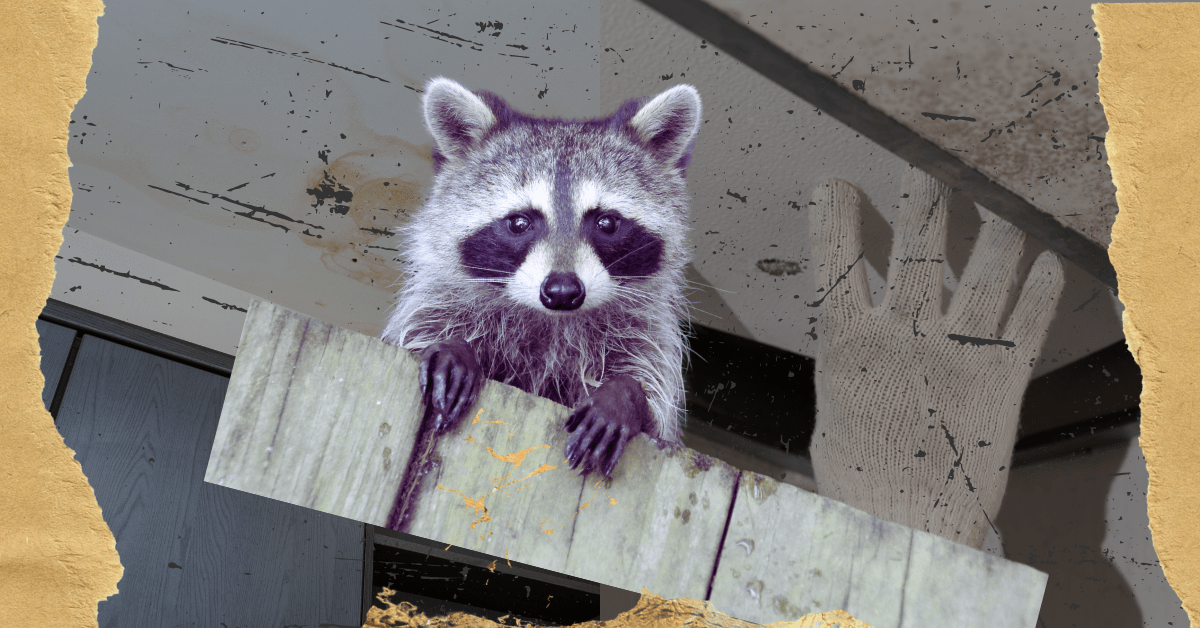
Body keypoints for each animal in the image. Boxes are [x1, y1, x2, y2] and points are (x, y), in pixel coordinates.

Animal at [382, 77, 701, 478]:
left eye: (607, 223)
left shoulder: (643, 330)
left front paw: (626, 394)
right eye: (520, 222)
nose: (563, 291)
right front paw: (453, 345)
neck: (552, 322)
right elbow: (419, 329)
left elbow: (656, 408)